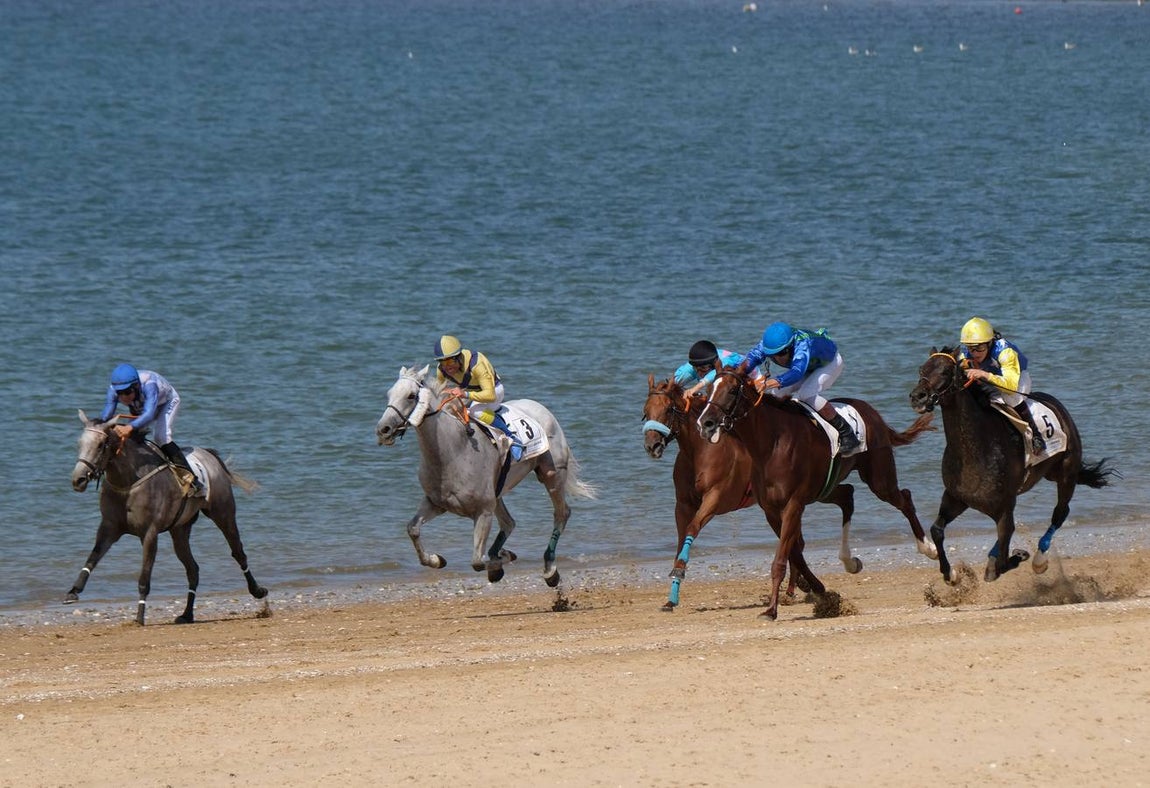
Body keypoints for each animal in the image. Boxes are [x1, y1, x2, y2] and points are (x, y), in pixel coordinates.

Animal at [68, 411, 268, 625]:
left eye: (100, 445)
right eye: (79, 443)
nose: (78, 479)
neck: (129, 482)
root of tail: (208, 454)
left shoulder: (149, 534)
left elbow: (144, 578)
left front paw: (139, 616)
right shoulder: (109, 528)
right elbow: (92, 558)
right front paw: (73, 591)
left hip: (223, 513)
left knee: (238, 552)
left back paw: (258, 591)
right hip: (180, 530)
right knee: (193, 569)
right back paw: (187, 614)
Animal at [375, 365, 596, 587]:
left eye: (411, 396)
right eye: (389, 393)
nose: (383, 429)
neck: (452, 452)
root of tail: (541, 408)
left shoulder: (483, 511)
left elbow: (477, 561)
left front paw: (500, 562)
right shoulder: (435, 503)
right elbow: (412, 529)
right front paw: (437, 560)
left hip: (551, 475)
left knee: (561, 513)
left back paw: (550, 569)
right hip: (497, 493)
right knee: (509, 522)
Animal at [644, 375, 936, 612]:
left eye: (668, 409)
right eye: (645, 411)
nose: (652, 445)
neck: (699, 452)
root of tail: (871, 412)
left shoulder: (717, 499)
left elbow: (694, 529)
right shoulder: (685, 504)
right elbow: (683, 537)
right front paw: (672, 595)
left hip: (879, 477)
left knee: (903, 497)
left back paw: (928, 547)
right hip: (823, 489)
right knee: (846, 497)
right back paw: (833, 570)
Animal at [909, 347, 1116, 584]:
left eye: (945, 371)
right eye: (921, 369)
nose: (917, 396)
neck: (975, 450)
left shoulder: (1004, 507)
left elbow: (1004, 559)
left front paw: (1018, 555)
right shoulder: (956, 498)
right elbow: (937, 530)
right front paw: (950, 573)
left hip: (1066, 475)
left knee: (1060, 513)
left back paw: (1039, 560)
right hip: (1047, 474)